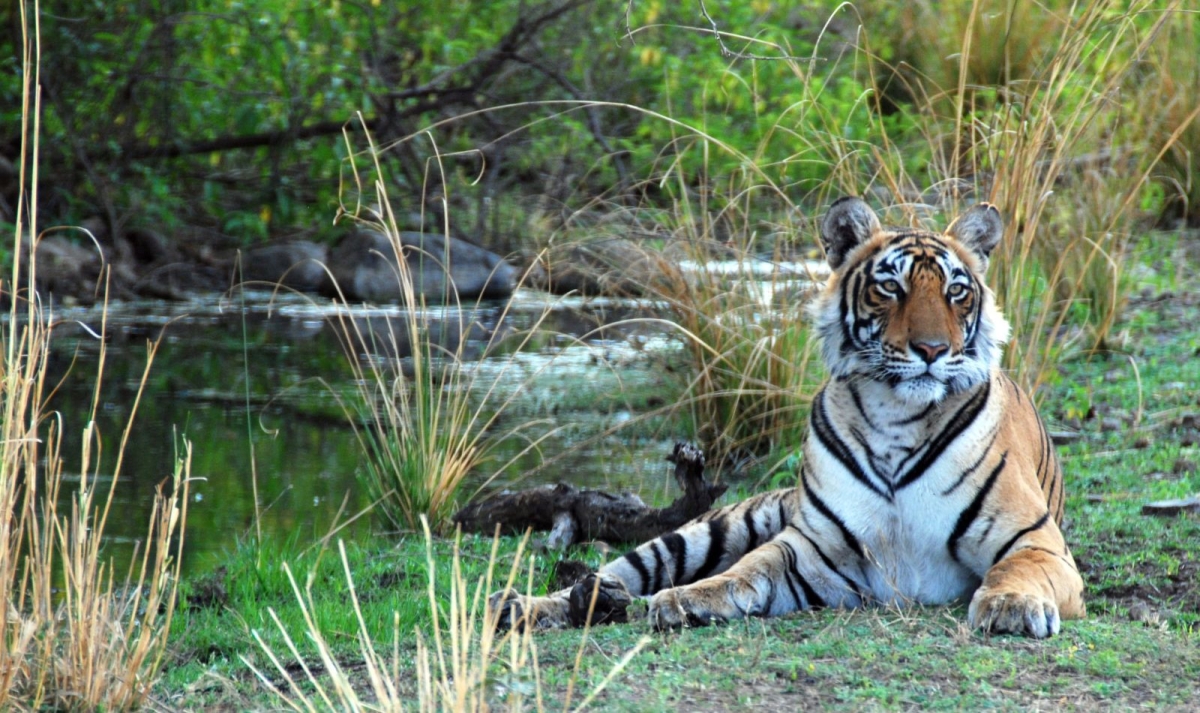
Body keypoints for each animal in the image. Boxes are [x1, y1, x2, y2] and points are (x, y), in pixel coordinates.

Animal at [491, 196, 1085, 638]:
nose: (933, 350)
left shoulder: (1035, 541)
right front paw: (685, 598)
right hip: (704, 531)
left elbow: (1014, 568)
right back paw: (528, 605)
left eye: (956, 291)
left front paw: (1010, 606)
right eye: (890, 287)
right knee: (614, 570)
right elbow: (745, 570)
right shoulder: (809, 550)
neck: (897, 415)